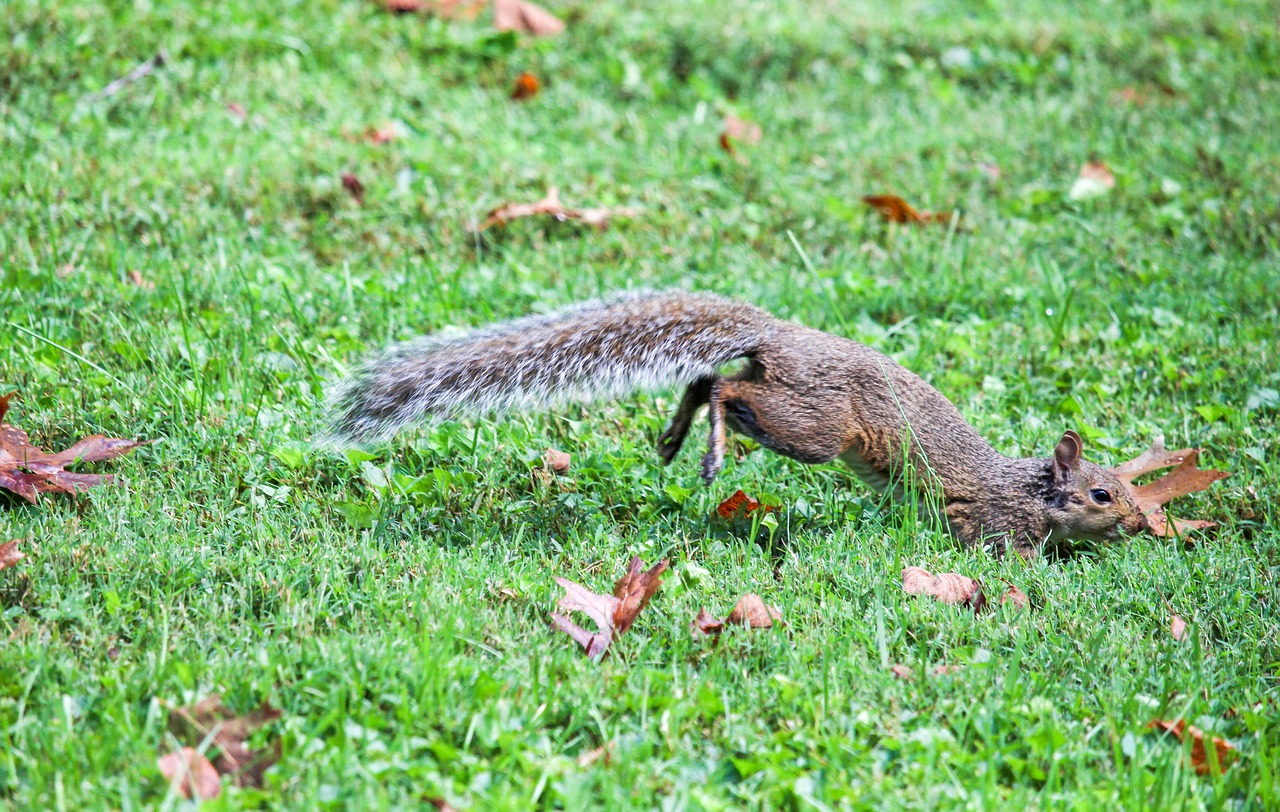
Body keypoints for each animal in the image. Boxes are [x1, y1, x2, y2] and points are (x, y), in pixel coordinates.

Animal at [325, 289, 1146, 555]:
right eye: (1103, 494)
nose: (1146, 524)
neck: (1030, 487)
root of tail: (779, 335)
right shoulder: (990, 516)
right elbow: (993, 548)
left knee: (705, 377)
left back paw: (674, 437)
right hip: (814, 427)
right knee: (723, 389)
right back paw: (708, 448)